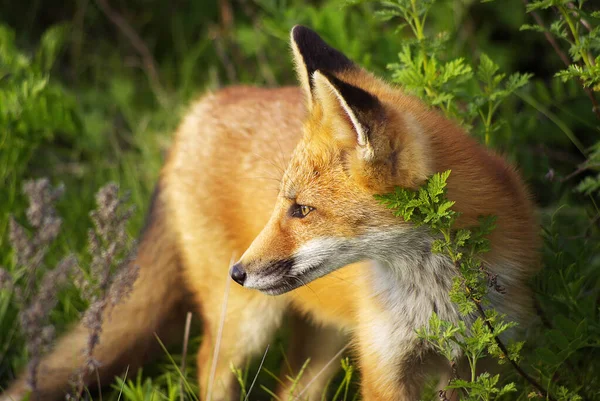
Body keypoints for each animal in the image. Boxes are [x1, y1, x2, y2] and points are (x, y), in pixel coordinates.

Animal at [0, 25, 540, 400]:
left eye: (302, 209)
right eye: (284, 204)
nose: (238, 271)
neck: (433, 296)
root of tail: (203, 104)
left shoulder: (488, 362)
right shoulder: (385, 368)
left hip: (319, 343)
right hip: (246, 324)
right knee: (207, 365)